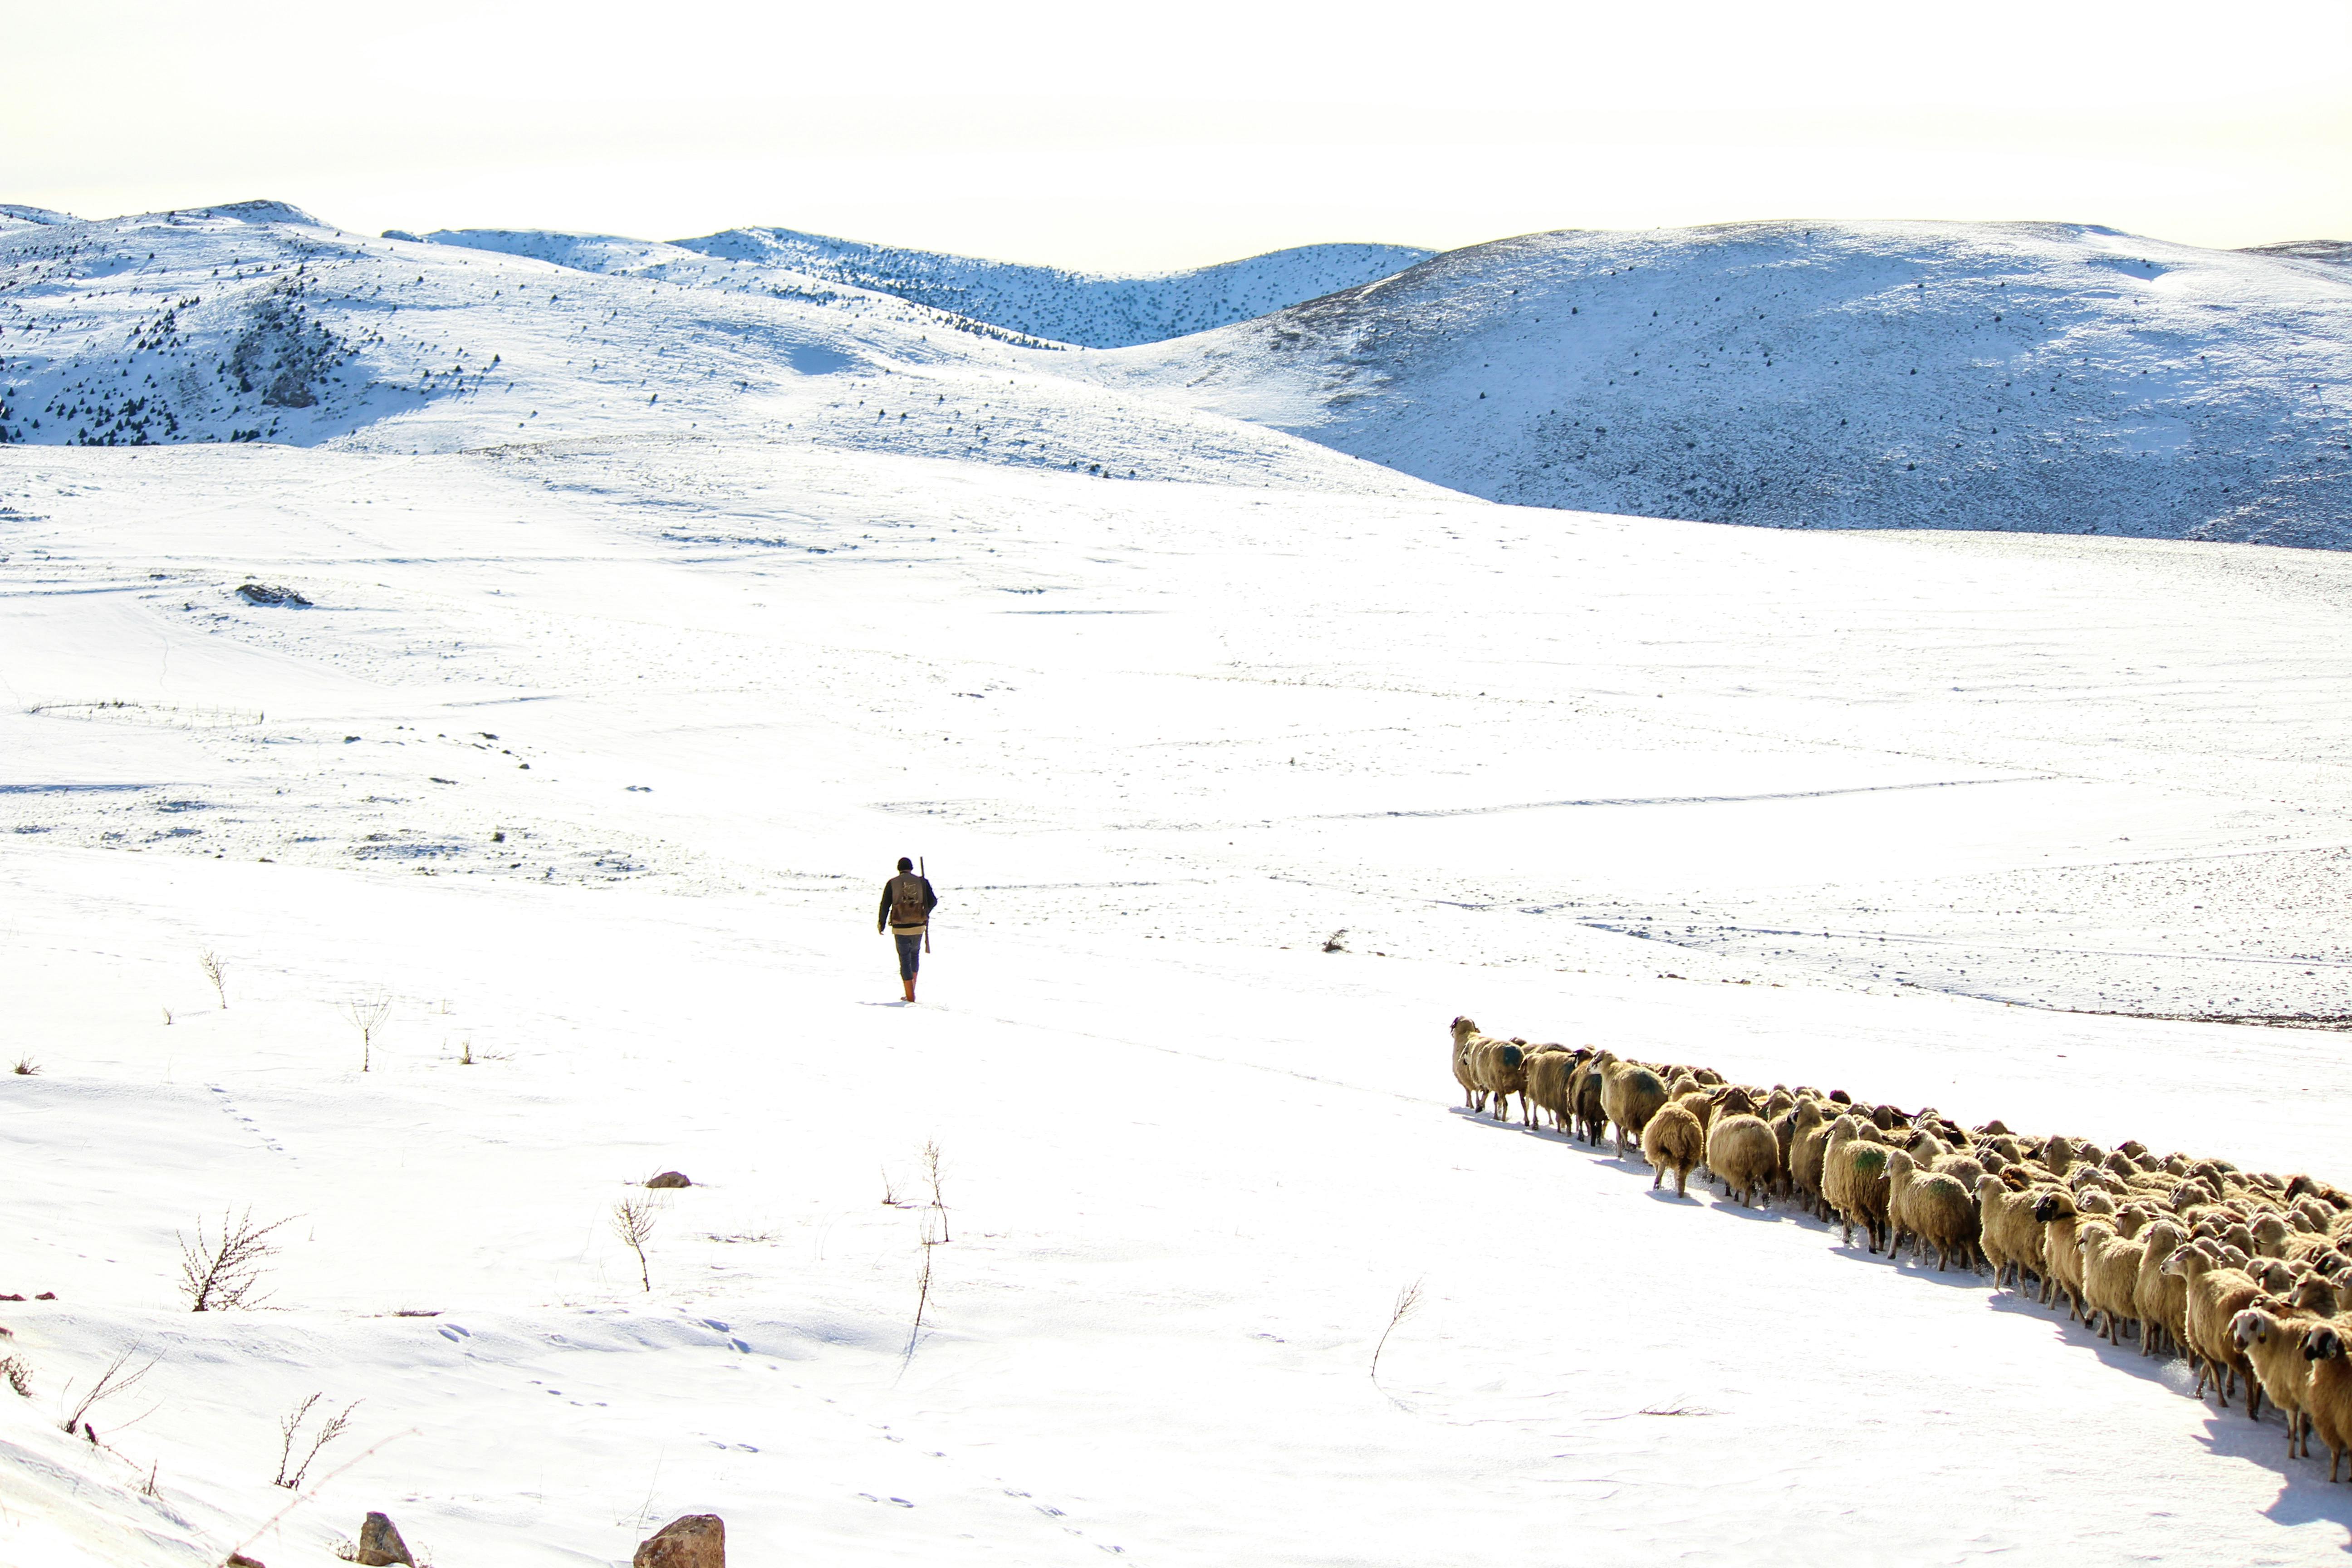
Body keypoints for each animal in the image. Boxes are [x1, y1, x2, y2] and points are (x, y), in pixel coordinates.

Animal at [1646, 1105, 1703, 1203]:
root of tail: (1688, 1128)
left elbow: (1658, 1168)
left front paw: (1659, 1184)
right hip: (1689, 1156)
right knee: (1681, 1177)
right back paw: (1680, 1194)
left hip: (1669, 1147)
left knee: (1664, 1161)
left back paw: (1657, 1184)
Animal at [1703, 1109, 1769, 1213]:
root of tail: (1756, 1134)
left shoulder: (1728, 1166)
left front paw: (1730, 1193)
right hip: (1766, 1165)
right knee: (1765, 1183)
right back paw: (1765, 1201)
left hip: (1741, 1166)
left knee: (1748, 1187)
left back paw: (1744, 1202)